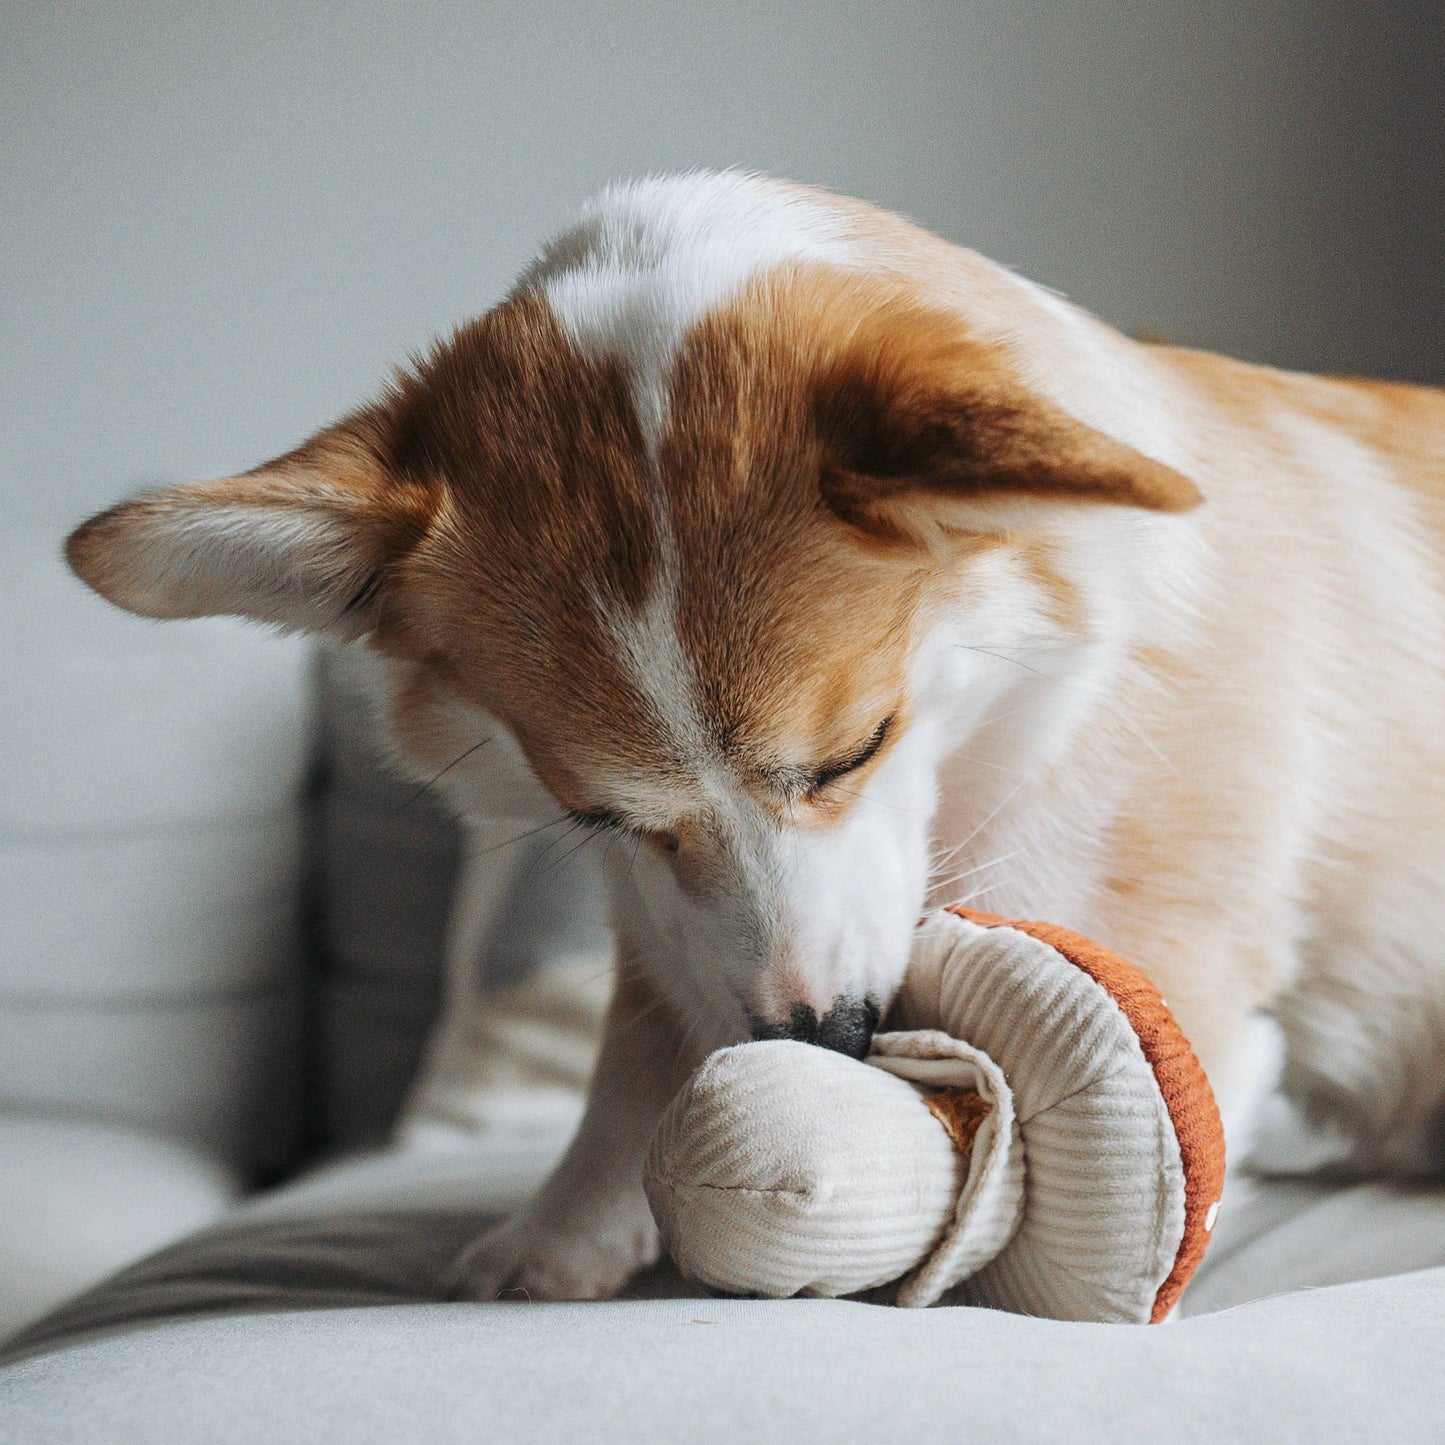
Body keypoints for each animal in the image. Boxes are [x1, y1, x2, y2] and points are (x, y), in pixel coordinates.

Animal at [67, 174, 1445, 1306]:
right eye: (600, 815)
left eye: (853, 750)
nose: (826, 1035)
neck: (1001, 725)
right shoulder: (655, 909)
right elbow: (636, 1055)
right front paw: (559, 1235)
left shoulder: (1142, 955)